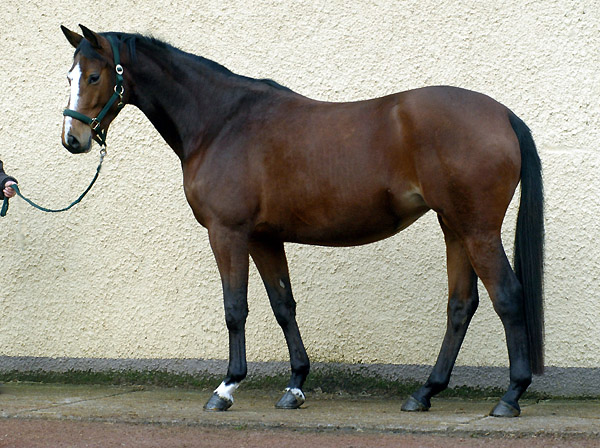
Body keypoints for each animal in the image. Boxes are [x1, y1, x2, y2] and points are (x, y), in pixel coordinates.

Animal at [59, 24, 544, 416]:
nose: (73, 139)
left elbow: (235, 308)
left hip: (477, 230)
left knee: (507, 296)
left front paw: (227, 388)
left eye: (95, 76)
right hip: (453, 226)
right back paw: (424, 392)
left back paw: (510, 397)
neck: (222, 121)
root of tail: (503, 115)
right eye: (69, 76)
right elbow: (283, 305)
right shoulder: (264, 238)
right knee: (461, 305)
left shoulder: (228, 233)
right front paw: (294, 386)